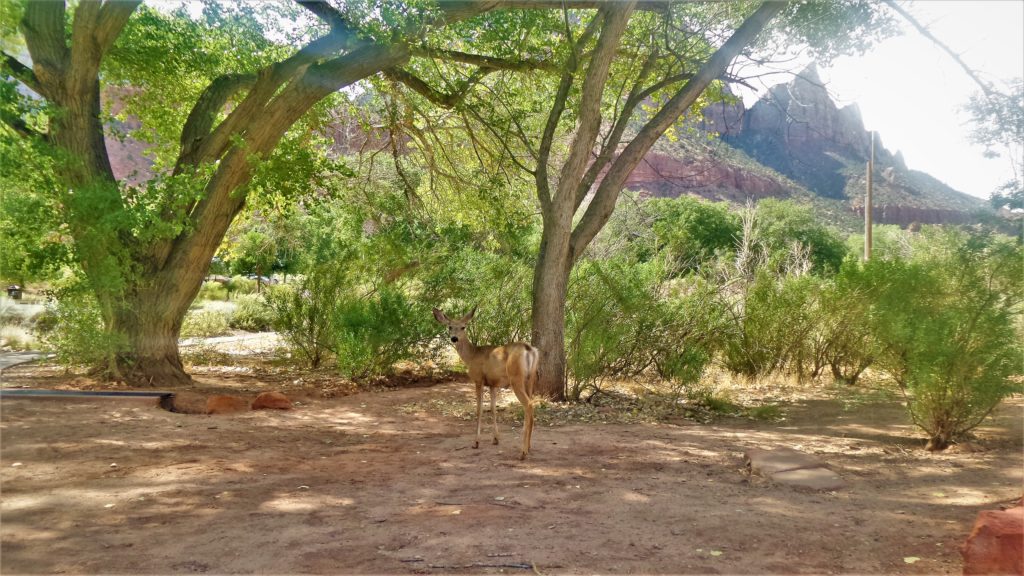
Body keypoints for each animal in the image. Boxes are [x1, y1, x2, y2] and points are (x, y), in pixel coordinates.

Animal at [433, 307, 539, 459]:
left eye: (463, 327)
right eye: (450, 327)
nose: (454, 338)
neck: (471, 356)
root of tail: (529, 349)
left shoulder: (478, 379)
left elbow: (479, 409)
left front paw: (476, 442)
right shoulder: (493, 384)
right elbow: (493, 409)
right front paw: (495, 439)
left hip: (516, 378)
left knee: (529, 405)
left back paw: (523, 452)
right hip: (530, 379)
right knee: (532, 404)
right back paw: (529, 447)